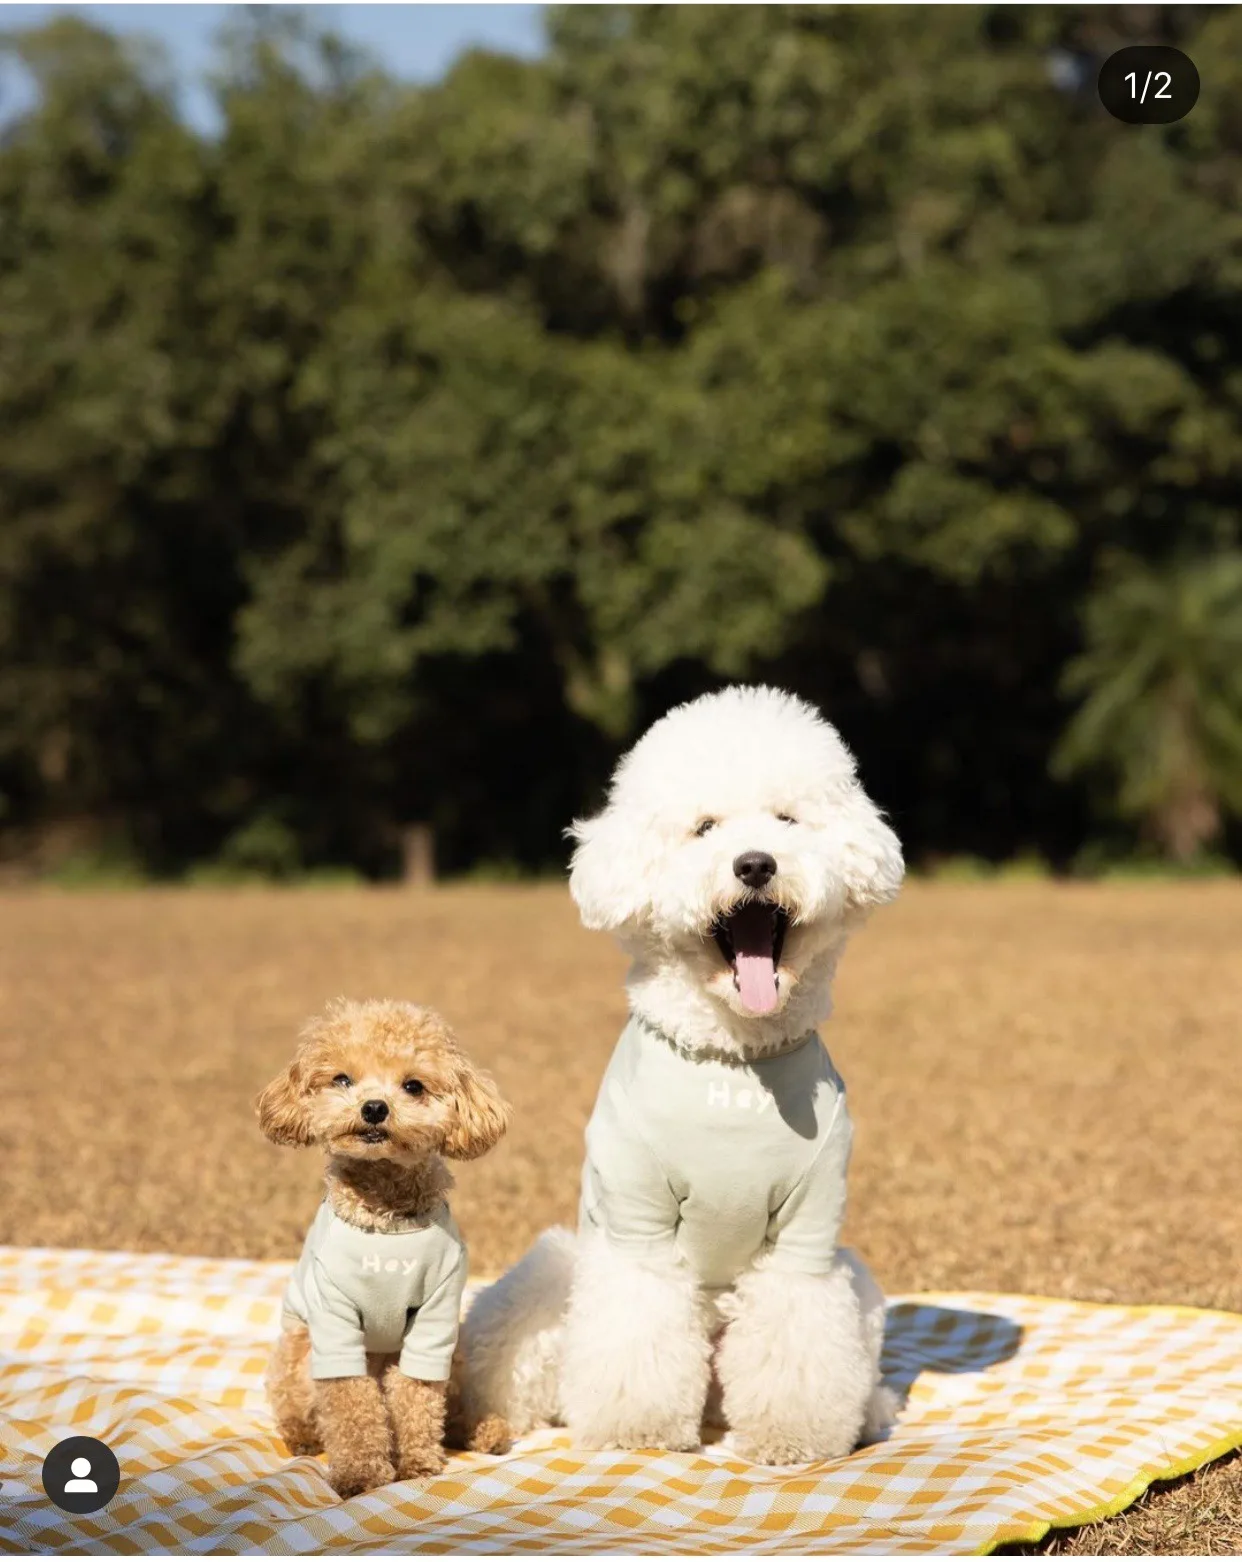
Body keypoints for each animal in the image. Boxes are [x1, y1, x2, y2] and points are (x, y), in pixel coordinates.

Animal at [456, 684, 906, 1462]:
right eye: (703, 828)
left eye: (788, 819)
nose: (755, 864)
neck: (731, 1058)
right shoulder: (635, 1220)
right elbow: (637, 1331)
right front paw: (637, 1431)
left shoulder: (807, 1232)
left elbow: (800, 1338)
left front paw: (792, 1436)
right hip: (555, 1267)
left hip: (859, 1278)